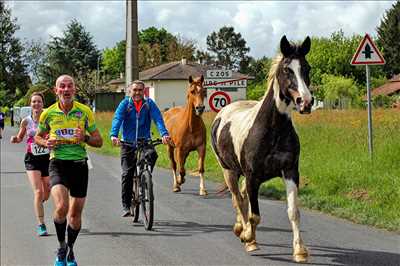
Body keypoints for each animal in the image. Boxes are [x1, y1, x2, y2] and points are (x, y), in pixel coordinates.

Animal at [211, 35, 314, 262]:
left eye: (307, 68)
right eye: (286, 69)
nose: (306, 102)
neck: (272, 130)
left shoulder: (290, 171)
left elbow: (293, 212)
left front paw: (300, 251)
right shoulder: (252, 176)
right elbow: (254, 215)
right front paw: (249, 239)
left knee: (242, 199)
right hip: (229, 171)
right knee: (238, 199)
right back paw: (243, 232)